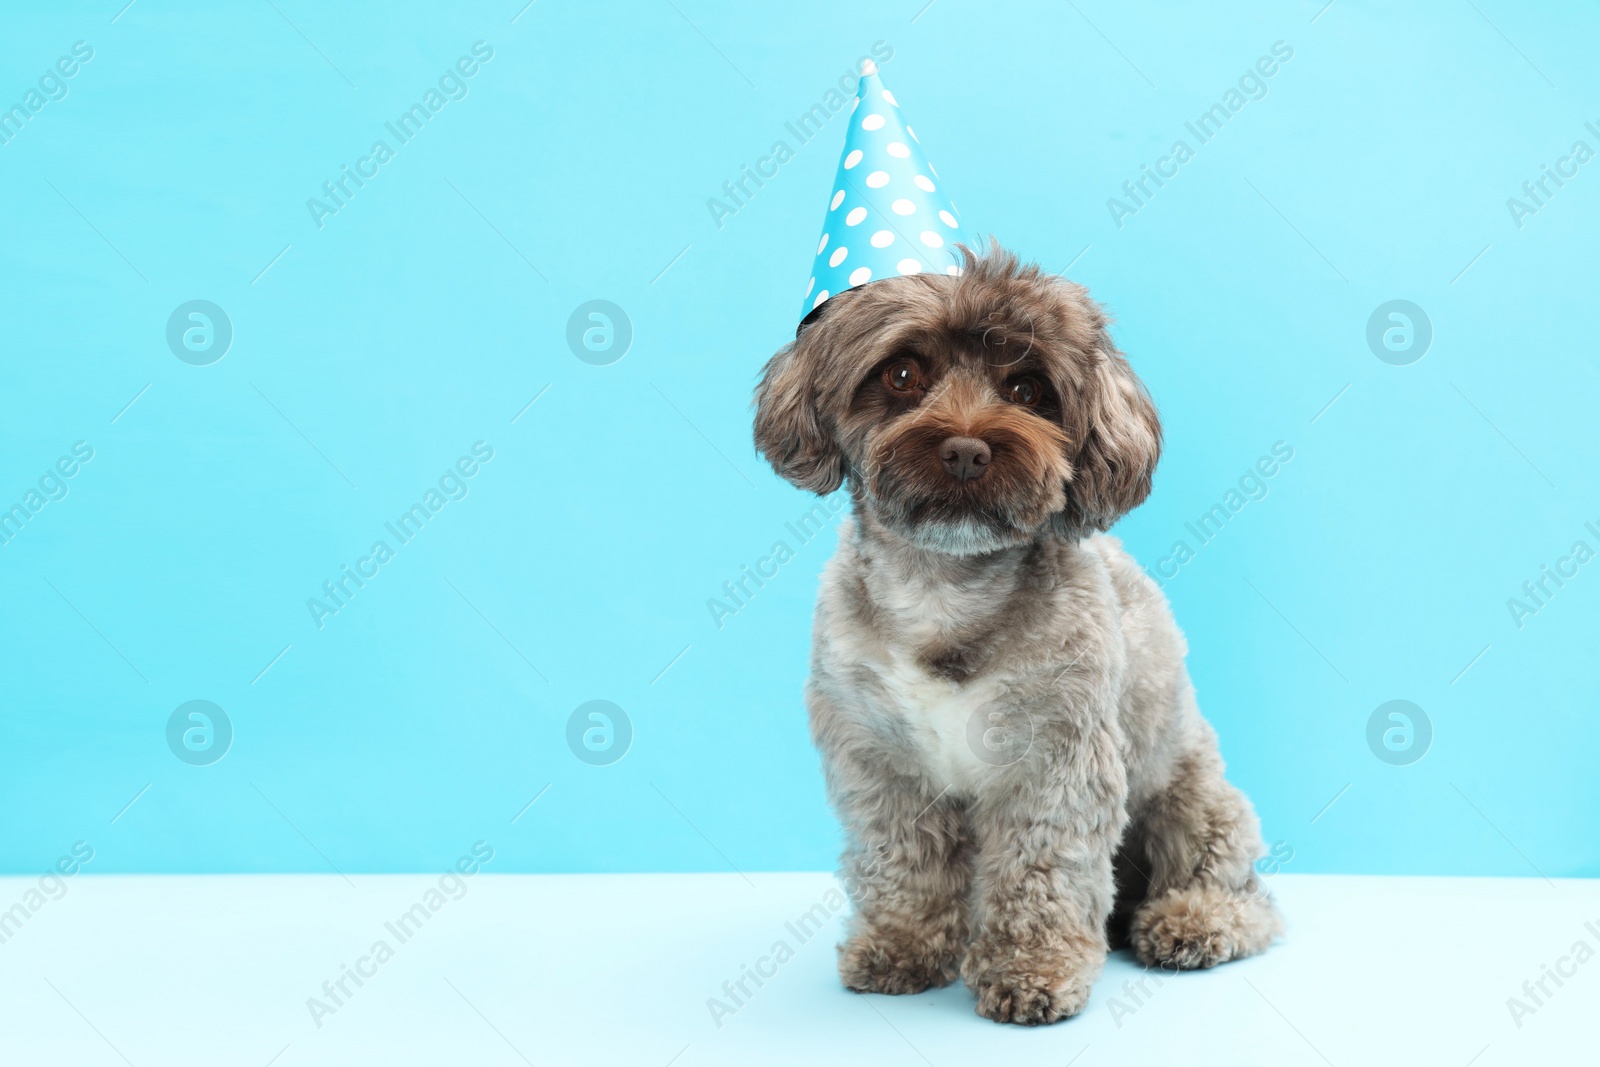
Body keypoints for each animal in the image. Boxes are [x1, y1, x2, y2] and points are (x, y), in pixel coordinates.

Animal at [752, 244, 1286, 1023]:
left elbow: (1042, 874)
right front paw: (902, 946)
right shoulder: (881, 763)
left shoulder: (1056, 764)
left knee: (1245, 897)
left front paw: (1031, 967)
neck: (946, 588)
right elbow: (902, 863)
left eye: (1029, 389)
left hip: (1194, 802)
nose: (967, 450)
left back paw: (1191, 921)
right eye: (902, 374)